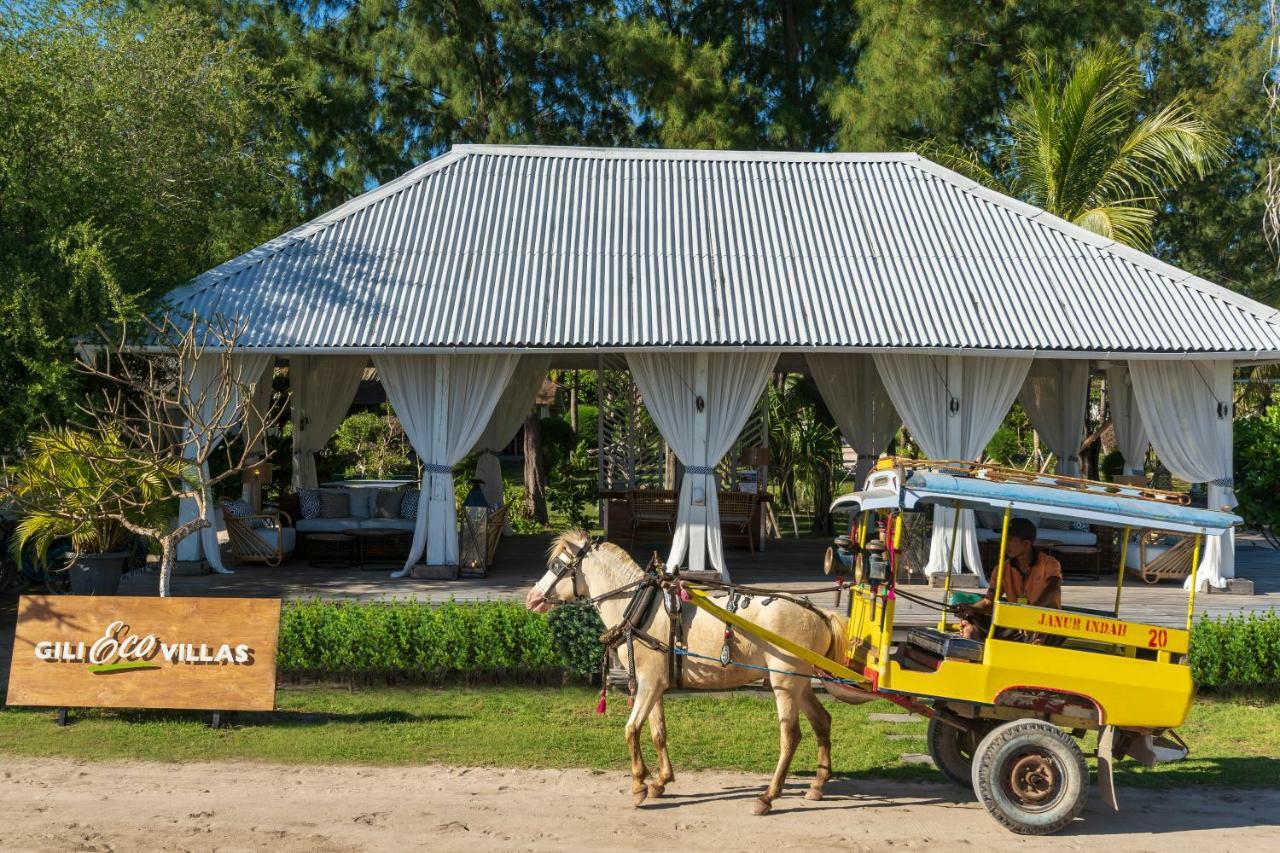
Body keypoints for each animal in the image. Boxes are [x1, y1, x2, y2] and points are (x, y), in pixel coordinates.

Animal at [524, 527, 855, 814]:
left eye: (557, 565)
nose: (532, 598)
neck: (640, 605)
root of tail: (820, 613)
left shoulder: (648, 684)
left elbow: (631, 729)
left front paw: (638, 785)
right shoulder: (653, 683)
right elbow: (658, 732)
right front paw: (660, 781)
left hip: (784, 683)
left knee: (790, 736)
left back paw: (768, 796)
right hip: (799, 683)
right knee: (822, 721)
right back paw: (817, 785)